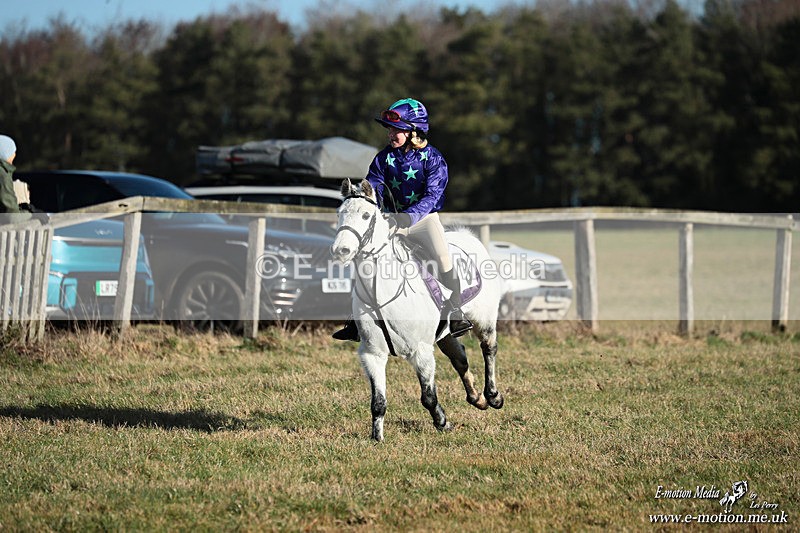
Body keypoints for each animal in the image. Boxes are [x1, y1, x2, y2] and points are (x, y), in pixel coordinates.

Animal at [330, 178, 505, 441]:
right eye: (340, 213)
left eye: (365, 215)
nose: (340, 250)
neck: (381, 291)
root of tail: (470, 238)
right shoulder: (372, 354)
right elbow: (378, 402)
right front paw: (377, 438)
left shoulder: (421, 351)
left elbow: (428, 396)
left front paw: (443, 423)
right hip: (444, 335)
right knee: (460, 358)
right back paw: (477, 398)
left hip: (484, 319)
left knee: (488, 348)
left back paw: (493, 396)